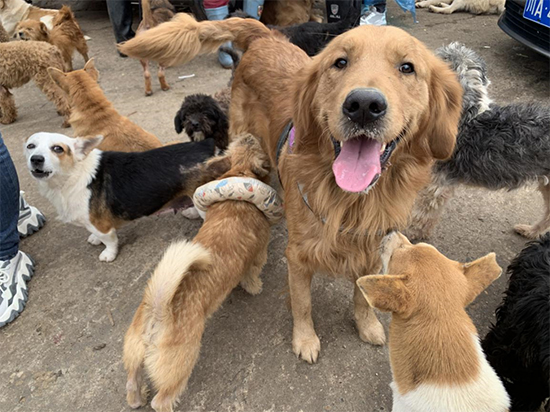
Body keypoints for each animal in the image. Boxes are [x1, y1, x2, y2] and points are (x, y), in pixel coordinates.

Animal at [23, 132, 230, 260]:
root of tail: (204, 145)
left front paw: (108, 254)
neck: (72, 176)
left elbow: (109, 240)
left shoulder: (102, 225)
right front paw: (94, 239)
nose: (36, 159)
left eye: (58, 149)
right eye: (30, 146)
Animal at [123, 135, 274, 412]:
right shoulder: (258, 256)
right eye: (256, 146)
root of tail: (158, 312)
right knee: (162, 399)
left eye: (234, 144)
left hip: (134, 358)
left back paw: (137, 398)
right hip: (182, 363)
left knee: (132, 384)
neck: (240, 173)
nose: (248, 135)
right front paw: (254, 287)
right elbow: (251, 276)